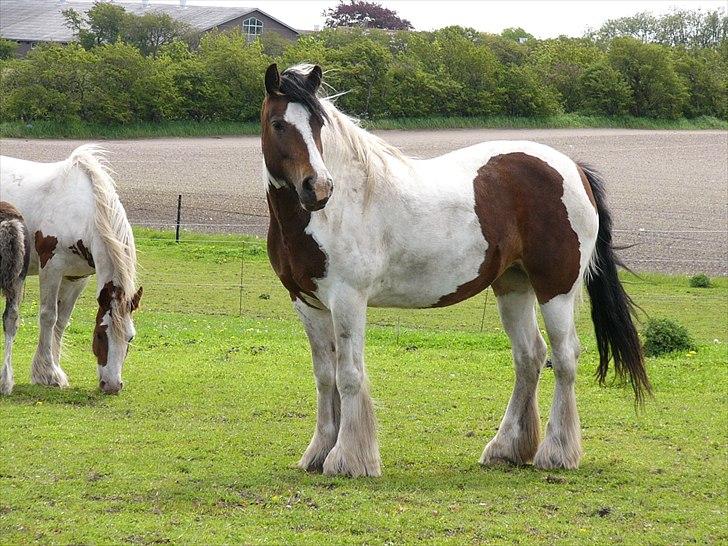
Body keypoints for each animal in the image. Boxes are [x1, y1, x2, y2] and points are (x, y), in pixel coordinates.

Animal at [0, 143, 142, 392]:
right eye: (100, 335)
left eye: (130, 337)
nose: (112, 386)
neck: (84, 211)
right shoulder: (51, 268)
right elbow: (49, 316)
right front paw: (46, 373)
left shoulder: (77, 277)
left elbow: (62, 321)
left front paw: (55, 368)